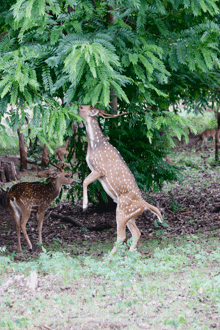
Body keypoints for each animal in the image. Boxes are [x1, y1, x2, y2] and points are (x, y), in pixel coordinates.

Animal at [78, 104, 162, 254]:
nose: (74, 105)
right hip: (130, 216)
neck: (94, 145)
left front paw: (85, 205)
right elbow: (85, 180)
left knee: (121, 236)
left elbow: (85, 181)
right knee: (137, 233)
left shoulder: (99, 169)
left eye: (82, 107)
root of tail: (144, 205)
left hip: (122, 212)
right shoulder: (94, 170)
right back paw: (129, 254)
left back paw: (108, 258)